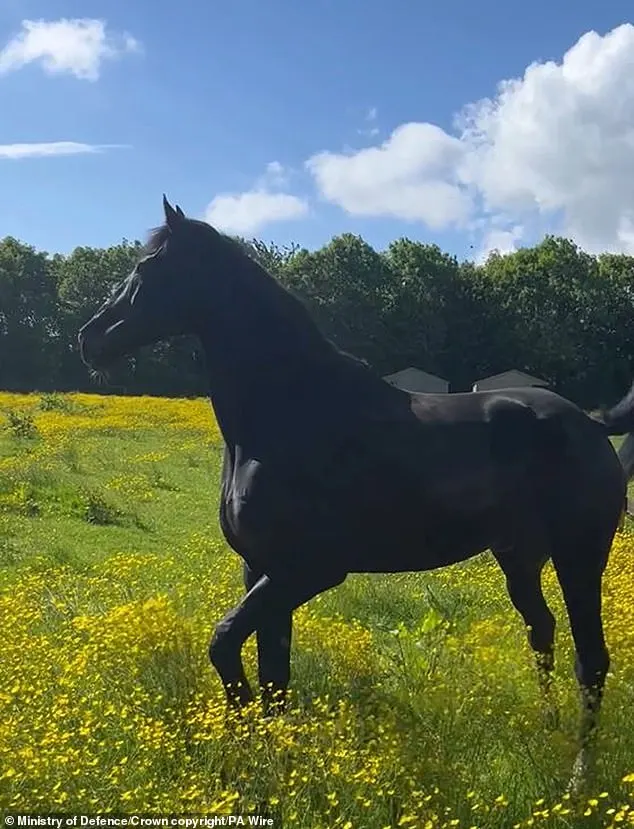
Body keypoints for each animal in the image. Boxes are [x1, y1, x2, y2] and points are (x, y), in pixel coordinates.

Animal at [78, 197, 632, 792]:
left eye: (148, 269)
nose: (89, 338)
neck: (286, 414)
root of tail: (590, 425)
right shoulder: (261, 571)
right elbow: (275, 673)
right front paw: (275, 763)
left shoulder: (309, 570)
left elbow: (225, 642)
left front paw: (244, 749)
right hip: (519, 557)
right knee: (541, 631)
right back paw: (549, 732)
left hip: (579, 556)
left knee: (590, 658)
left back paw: (577, 779)